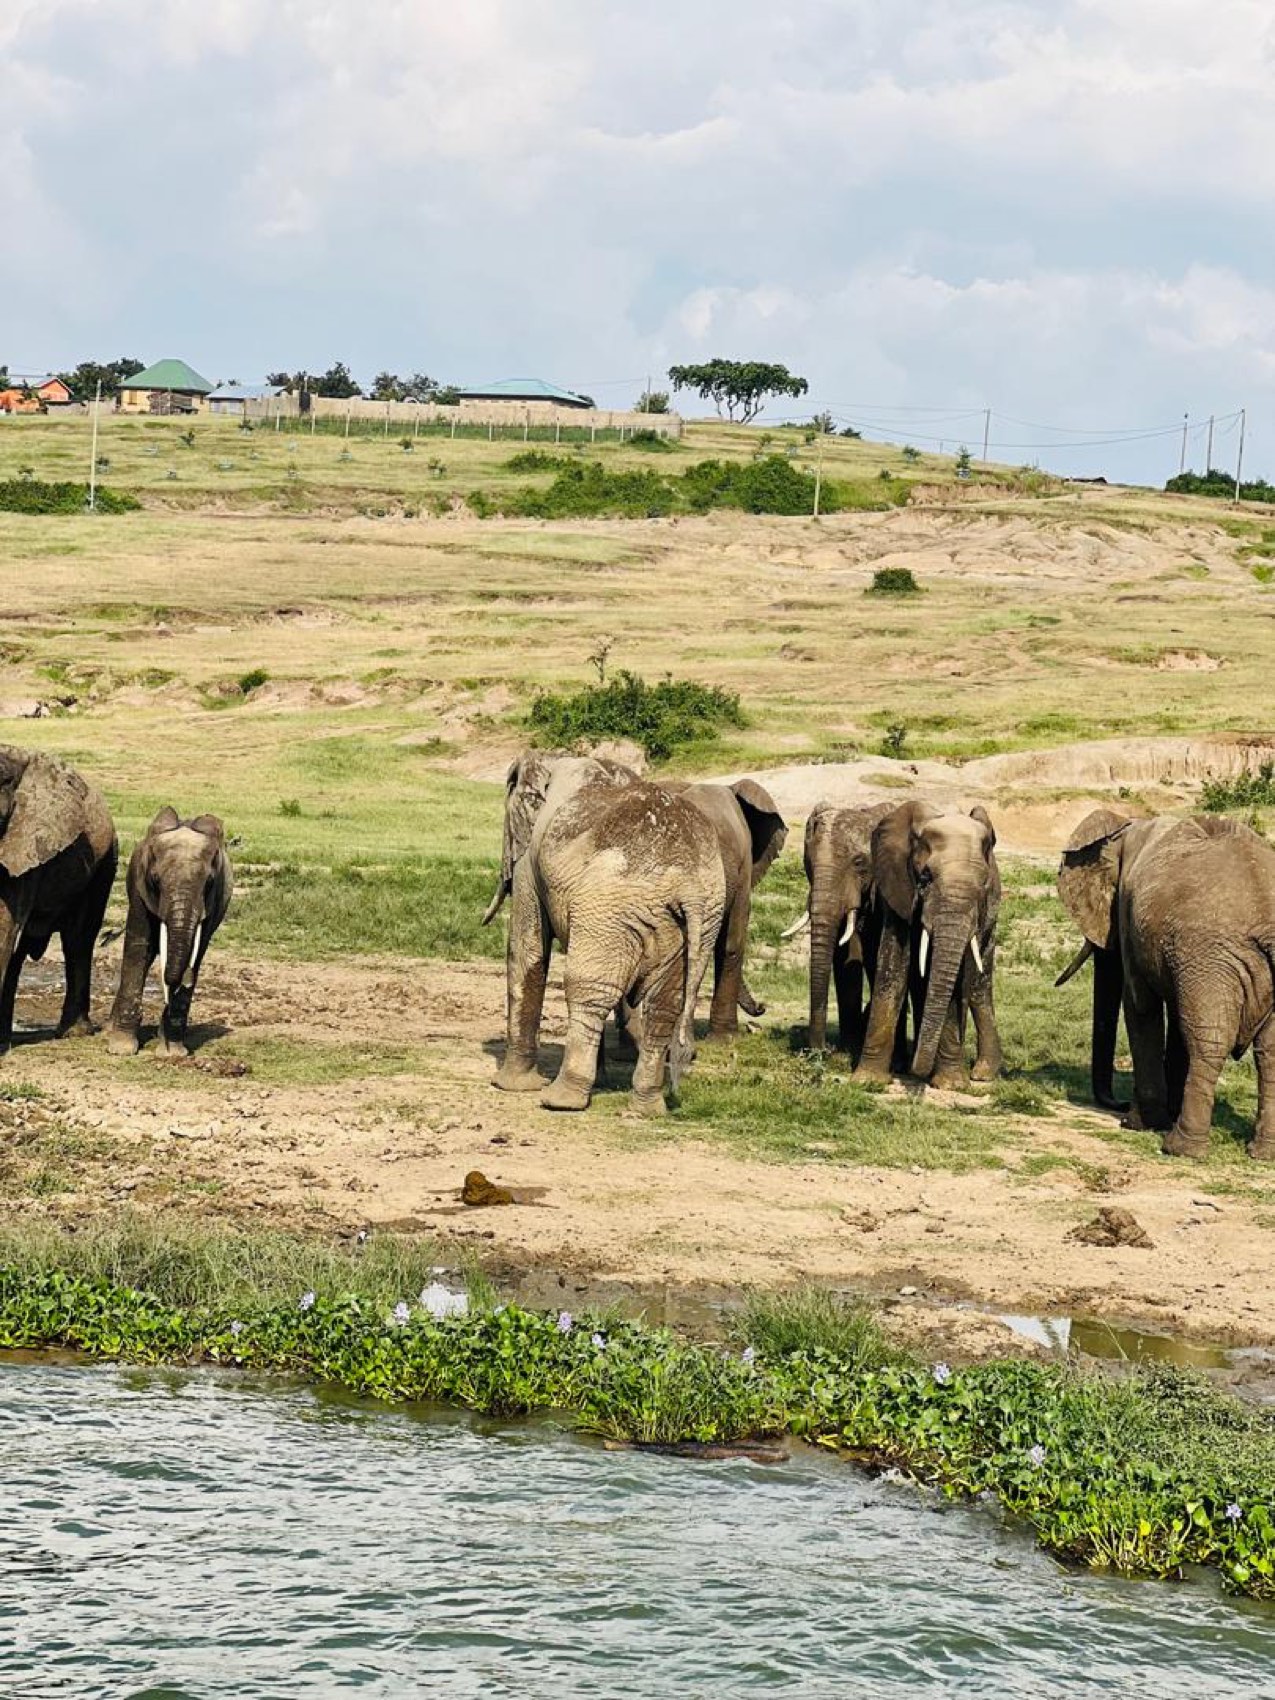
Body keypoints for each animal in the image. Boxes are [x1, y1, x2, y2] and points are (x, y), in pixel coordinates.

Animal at [107, 809, 233, 1057]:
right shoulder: (139, 886)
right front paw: (120, 1049)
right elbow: (139, 945)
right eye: (155, 880)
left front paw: (172, 1053)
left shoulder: (214, 902)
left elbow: (196, 953)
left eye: (209, 882)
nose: (181, 982)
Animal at [483, 751, 725, 1114]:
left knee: (588, 988)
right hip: (699, 919)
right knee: (665, 1003)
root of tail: (689, 884)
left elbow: (526, 952)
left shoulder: (530, 865)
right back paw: (646, 1109)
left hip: (610, 907)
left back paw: (560, 1100)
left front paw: (509, 1085)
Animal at [855, 800, 1003, 1087]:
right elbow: (893, 966)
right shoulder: (898, 886)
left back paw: (982, 1074)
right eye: (925, 878)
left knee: (980, 986)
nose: (916, 1071)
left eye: (984, 884)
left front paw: (952, 1083)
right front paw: (868, 1081)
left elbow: (957, 979)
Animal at [1057, 809, 1275, 1160]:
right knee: (1268, 1052)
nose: (1120, 1104)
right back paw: (1263, 1152)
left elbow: (1139, 1006)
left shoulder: (1132, 919)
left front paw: (1139, 1123)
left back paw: (1181, 1147)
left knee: (1210, 1041)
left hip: (1210, 955)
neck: (1127, 825)